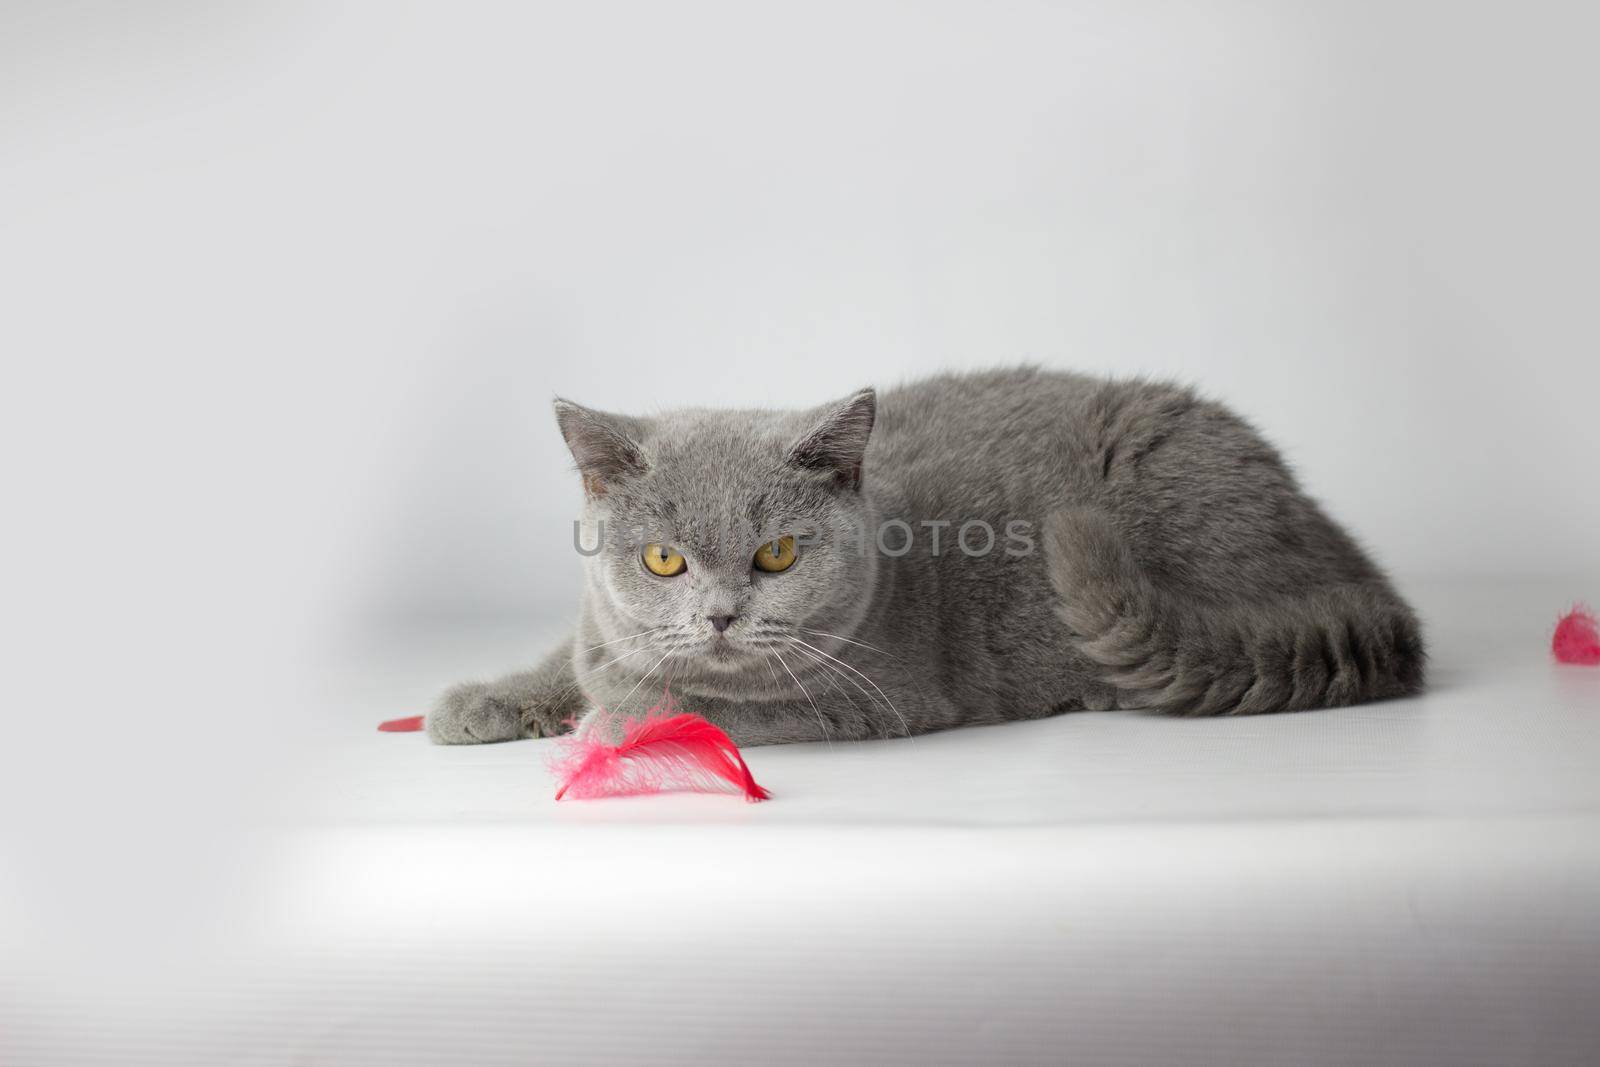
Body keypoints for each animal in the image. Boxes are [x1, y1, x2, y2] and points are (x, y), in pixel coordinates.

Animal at [425, 371, 1427, 748]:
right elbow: (578, 658)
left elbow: (704, 702)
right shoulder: (603, 628)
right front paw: (482, 702)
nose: (720, 615)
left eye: (776, 553)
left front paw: (612, 722)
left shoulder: (870, 697)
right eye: (665, 560)